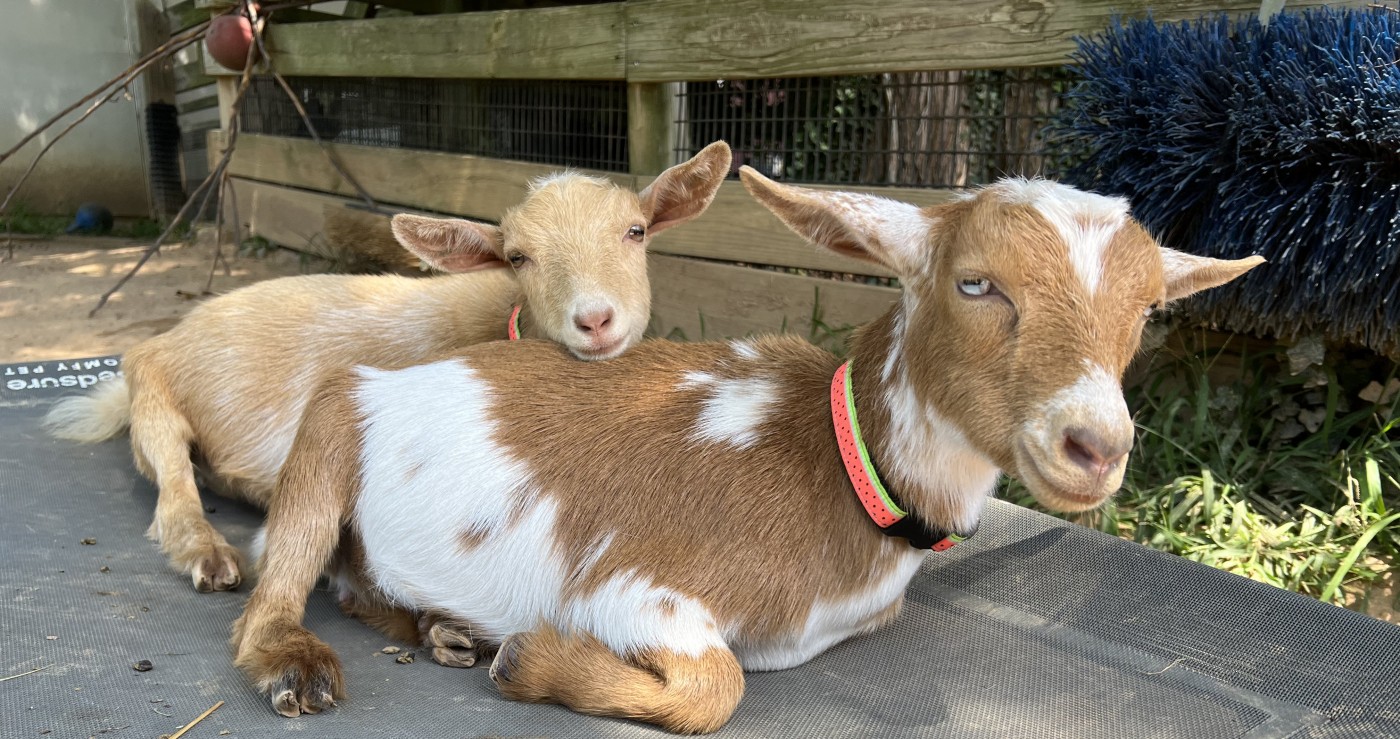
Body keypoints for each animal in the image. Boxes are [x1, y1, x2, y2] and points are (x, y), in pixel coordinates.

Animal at [40, 142, 733, 599]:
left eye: (636, 231)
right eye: (518, 257)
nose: (594, 320)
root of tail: (168, 338)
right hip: (155, 403)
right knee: (173, 485)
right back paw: (206, 552)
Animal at [232, 168, 1271, 733]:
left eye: (1149, 307)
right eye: (976, 282)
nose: (1095, 445)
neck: (840, 465)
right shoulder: (631, 583)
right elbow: (719, 687)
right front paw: (526, 658)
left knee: (352, 581)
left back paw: (440, 627)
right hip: (326, 428)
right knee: (275, 581)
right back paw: (300, 663)